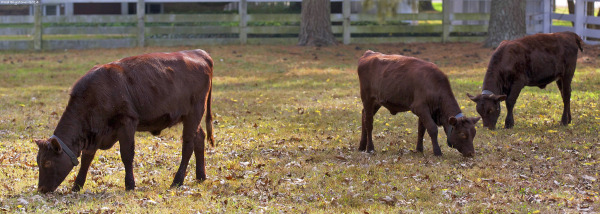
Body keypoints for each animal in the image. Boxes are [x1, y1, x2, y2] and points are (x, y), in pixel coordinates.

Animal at [34, 49, 213, 193]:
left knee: (187, 145)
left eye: (47, 162)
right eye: (38, 161)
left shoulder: (127, 122)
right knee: (199, 137)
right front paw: (77, 186)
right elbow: (87, 158)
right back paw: (201, 176)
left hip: (194, 112)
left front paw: (130, 185)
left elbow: (127, 154)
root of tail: (198, 53)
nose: (41, 189)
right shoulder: (95, 135)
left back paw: (177, 181)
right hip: (191, 116)